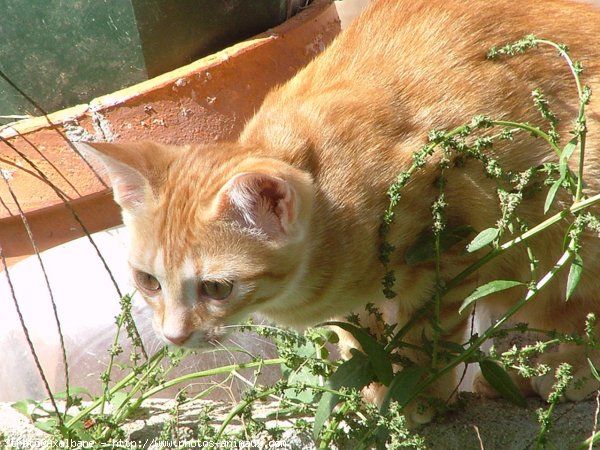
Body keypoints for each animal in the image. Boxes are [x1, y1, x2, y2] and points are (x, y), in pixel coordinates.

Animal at [81, 0, 600, 426]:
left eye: (216, 288)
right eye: (148, 281)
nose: (172, 338)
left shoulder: (452, 246)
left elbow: (426, 333)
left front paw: (420, 396)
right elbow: (357, 337)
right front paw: (371, 386)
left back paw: (565, 369)